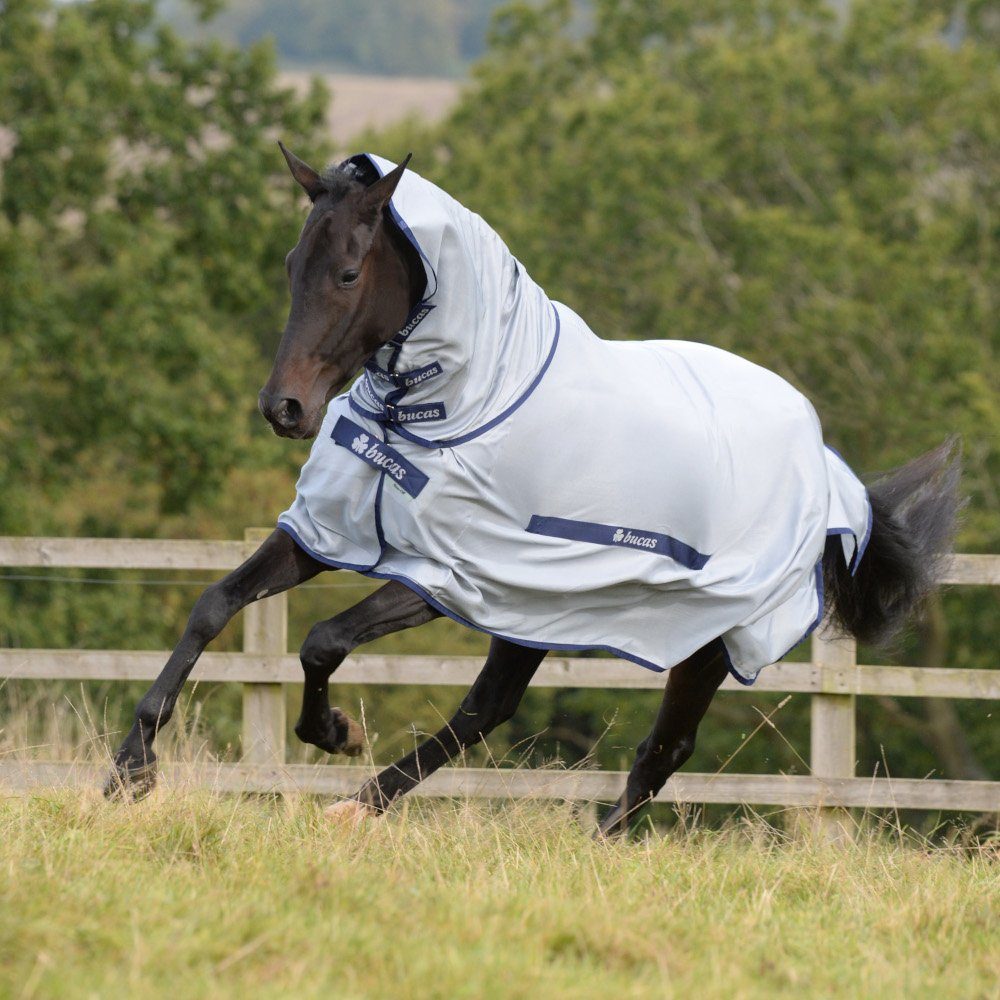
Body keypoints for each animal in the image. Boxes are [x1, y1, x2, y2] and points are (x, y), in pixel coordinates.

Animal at [105, 145, 961, 835]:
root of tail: (826, 465)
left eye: (347, 272)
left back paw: (580, 842)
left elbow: (322, 641)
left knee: (662, 746)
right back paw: (363, 805)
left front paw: (336, 731)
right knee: (490, 709)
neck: (465, 401)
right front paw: (130, 770)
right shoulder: (332, 534)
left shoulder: (448, 576)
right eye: (290, 264)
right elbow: (214, 603)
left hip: (703, 636)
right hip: (540, 609)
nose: (283, 408)